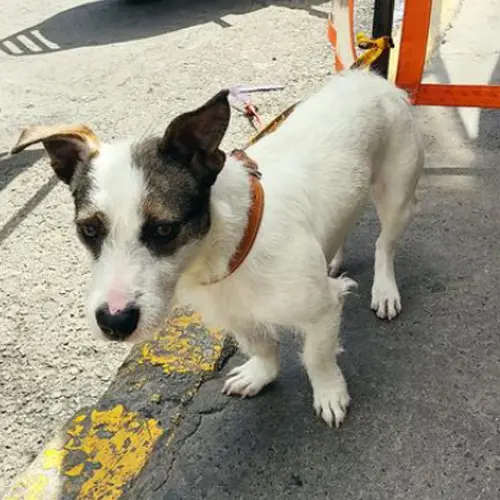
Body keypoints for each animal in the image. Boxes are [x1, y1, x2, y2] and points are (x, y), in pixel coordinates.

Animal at [12, 69, 422, 426]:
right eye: (89, 229)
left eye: (165, 229)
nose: (114, 323)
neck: (229, 246)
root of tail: (369, 78)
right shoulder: (235, 313)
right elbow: (262, 346)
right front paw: (262, 373)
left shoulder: (322, 309)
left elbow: (316, 357)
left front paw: (329, 392)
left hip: (398, 197)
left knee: (384, 245)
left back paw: (384, 289)